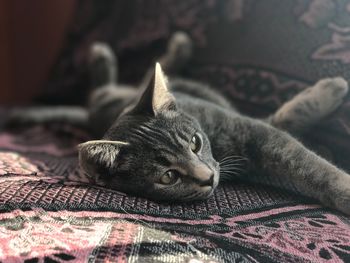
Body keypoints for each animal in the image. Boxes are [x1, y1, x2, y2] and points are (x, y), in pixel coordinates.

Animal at [6, 32, 350, 216]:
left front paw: (329, 92)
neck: (219, 146)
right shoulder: (260, 132)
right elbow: (302, 153)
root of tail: (92, 114)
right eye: (168, 176)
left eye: (195, 143)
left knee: (141, 76)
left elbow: (308, 161)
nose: (208, 177)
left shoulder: (251, 128)